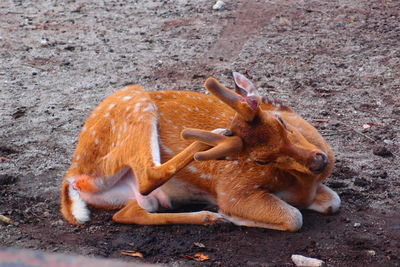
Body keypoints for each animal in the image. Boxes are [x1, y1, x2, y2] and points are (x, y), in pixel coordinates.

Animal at [61, 73, 340, 232]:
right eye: (260, 160)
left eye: (280, 122)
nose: (318, 160)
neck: (303, 184)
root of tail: (73, 176)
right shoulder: (234, 189)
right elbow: (294, 217)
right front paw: (233, 217)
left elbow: (333, 202)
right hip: (134, 100)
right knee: (148, 175)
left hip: (136, 197)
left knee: (128, 212)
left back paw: (209, 218)